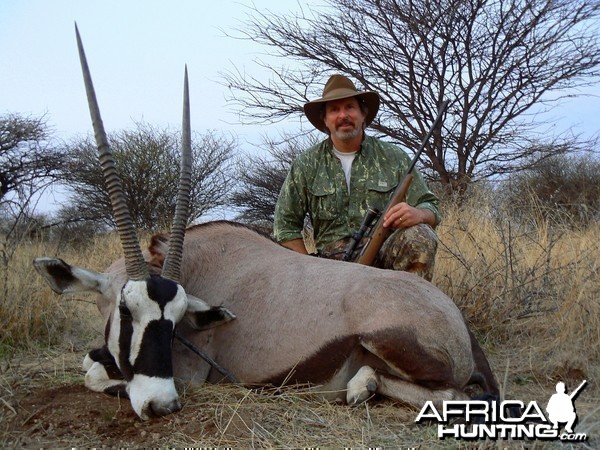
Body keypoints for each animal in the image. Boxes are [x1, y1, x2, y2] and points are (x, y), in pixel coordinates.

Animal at [34, 26, 502, 420]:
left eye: (175, 319)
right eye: (125, 310)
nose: (160, 404)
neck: (200, 263)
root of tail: (455, 319)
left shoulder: (188, 373)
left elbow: (93, 371)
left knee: (459, 395)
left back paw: (358, 388)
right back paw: (361, 386)